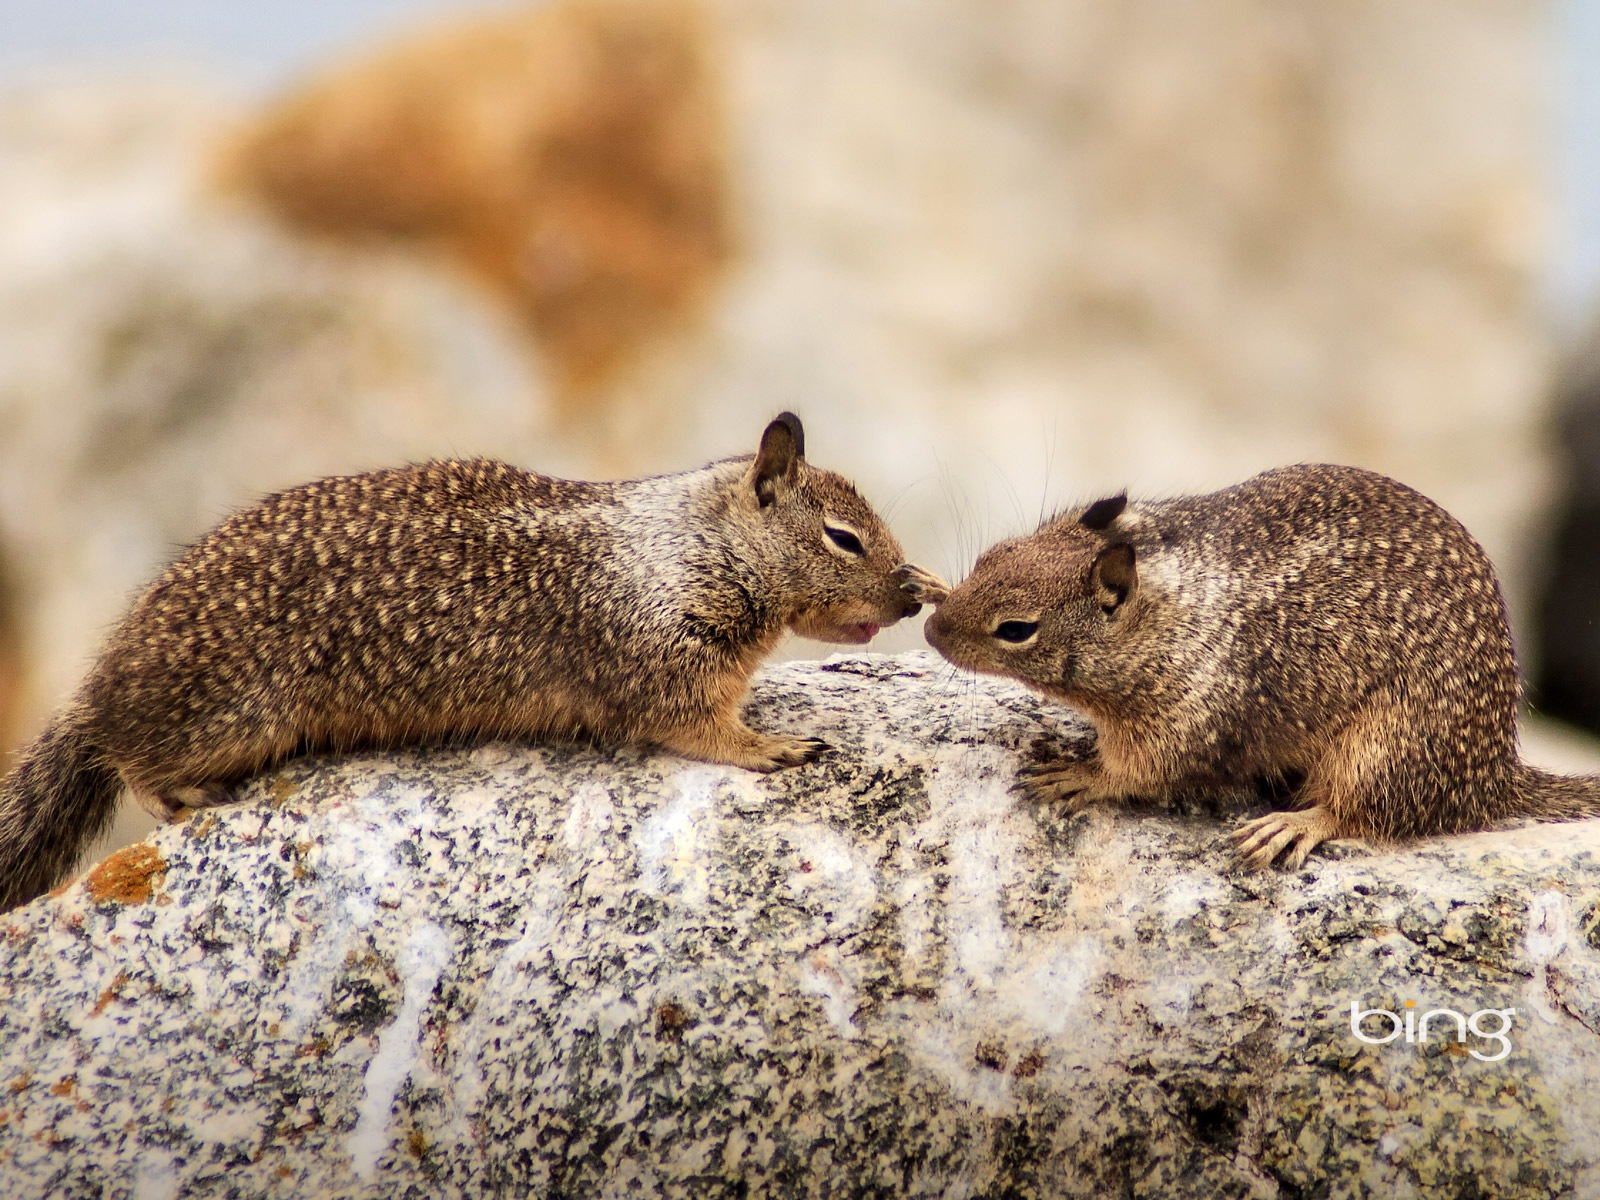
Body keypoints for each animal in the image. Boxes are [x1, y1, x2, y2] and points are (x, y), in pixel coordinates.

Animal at [3, 416, 947, 908]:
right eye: (843, 538)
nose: (911, 598)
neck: (689, 543)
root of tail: (103, 677)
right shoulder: (661, 659)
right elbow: (701, 730)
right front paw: (775, 746)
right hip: (226, 718)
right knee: (132, 757)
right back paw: (182, 794)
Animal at [928, 464, 1600, 870]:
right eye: (991, 556)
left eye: (1016, 629)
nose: (933, 631)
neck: (1170, 616)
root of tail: (1496, 775)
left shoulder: (1185, 723)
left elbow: (1137, 773)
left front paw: (1079, 774)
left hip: (1386, 751)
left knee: (1366, 813)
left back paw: (1292, 825)